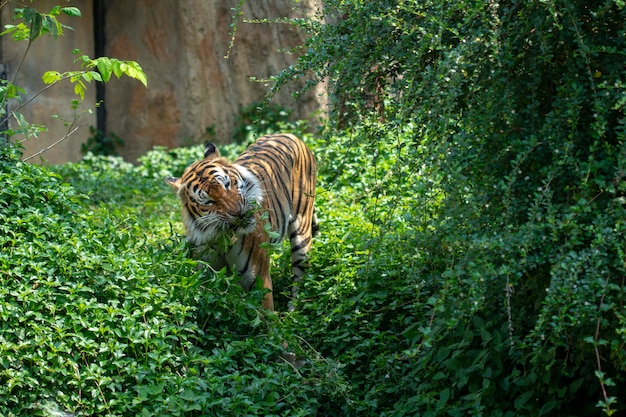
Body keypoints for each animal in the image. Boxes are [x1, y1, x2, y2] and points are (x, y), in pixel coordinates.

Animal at [166, 132, 316, 310]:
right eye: (208, 201)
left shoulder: (257, 279)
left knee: (300, 278)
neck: (220, 237)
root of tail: (290, 134)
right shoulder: (208, 277)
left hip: (302, 232)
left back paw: (294, 311)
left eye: (227, 184)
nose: (237, 212)